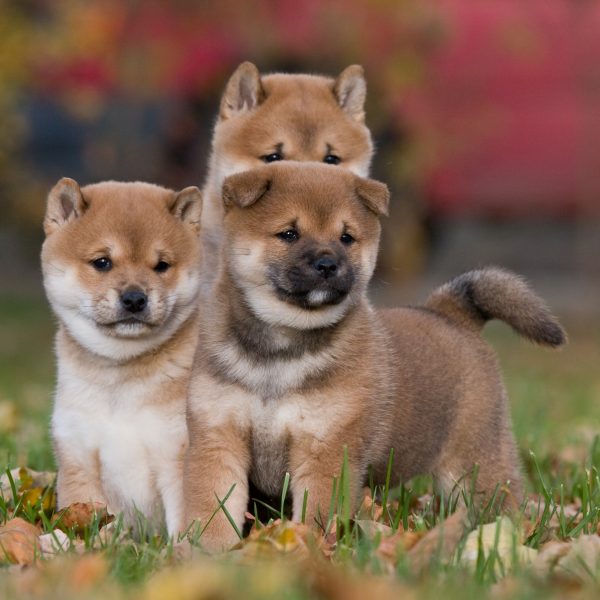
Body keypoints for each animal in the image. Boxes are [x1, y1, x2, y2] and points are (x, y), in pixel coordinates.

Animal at [41, 177, 204, 536]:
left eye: (161, 265)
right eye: (102, 262)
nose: (134, 299)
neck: (119, 376)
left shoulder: (175, 455)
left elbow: (184, 522)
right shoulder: (78, 454)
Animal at [185, 162, 564, 552]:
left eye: (346, 237)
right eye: (289, 233)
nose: (327, 263)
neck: (279, 355)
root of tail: (449, 314)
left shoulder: (326, 450)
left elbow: (317, 515)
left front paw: (310, 549)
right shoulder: (218, 440)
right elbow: (212, 508)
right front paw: (208, 551)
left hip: (477, 463)